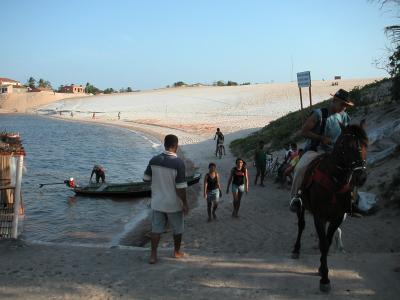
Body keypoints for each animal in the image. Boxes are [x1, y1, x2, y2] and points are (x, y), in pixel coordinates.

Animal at [290, 123, 368, 292]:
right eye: (344, 146)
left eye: (366, 144)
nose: (360, 177)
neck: (334, 182)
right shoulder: (319, 216)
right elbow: (324, 244)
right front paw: (325, 278)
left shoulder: (337, 217)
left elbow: (328, 240)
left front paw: (321, 268)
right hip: (301, 206)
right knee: (301, 225)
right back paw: (296, 249)